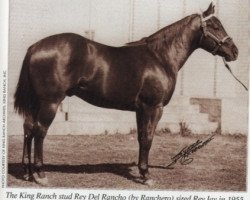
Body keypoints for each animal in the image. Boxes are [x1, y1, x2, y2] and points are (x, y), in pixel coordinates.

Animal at [13, 2, 238, 186]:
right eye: (215, 26)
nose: (234, 52)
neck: (160, 57)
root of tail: (35, 47)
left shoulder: (140, 109)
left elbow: (141, 138)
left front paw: (141, 172)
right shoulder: (154, 107)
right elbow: (148, 138)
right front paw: (146, 176)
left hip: (36, 103)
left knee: (28, 129)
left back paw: (28, 173)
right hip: (50, 102)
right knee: (40, 131)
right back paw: (41, 175)